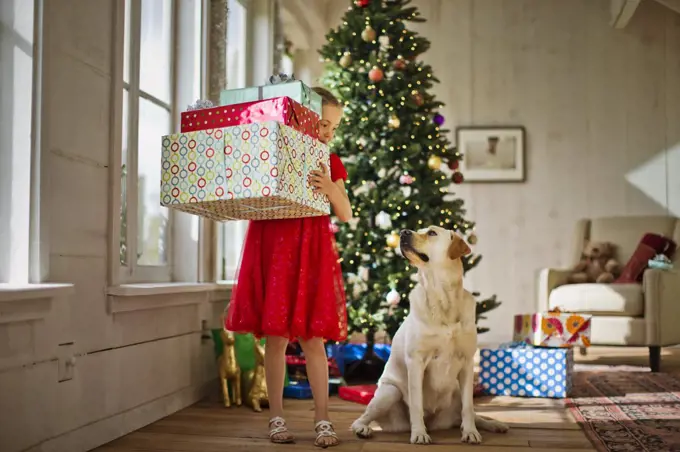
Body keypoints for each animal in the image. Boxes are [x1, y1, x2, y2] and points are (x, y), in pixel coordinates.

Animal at [354, 226, 508, 444]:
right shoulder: (416, 361)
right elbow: (416, 404)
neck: (442, 296)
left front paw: (471, 432)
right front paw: (419, 433)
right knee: (362, 418)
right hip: (389, 392)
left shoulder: (468, 361)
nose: (403, 231)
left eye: (432, 233)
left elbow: (469, 407)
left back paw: (493, 424)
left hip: (456, 391)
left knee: (469, 413)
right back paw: (363, 429)